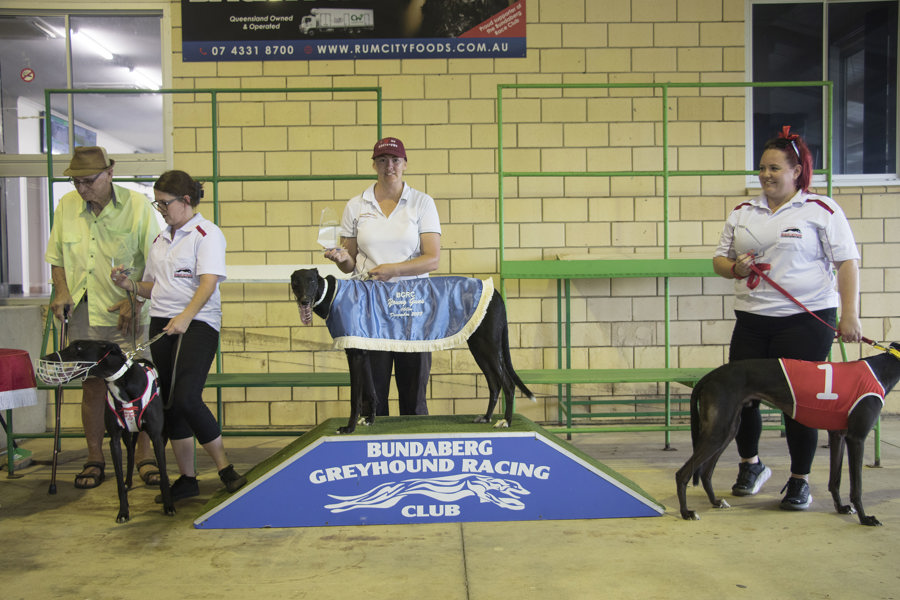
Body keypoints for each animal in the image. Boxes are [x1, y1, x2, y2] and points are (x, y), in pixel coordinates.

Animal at [38, 340, 174, 522]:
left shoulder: (156, 437)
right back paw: (128, 481)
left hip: (159, 434)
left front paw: (168, 505)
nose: (46, 357)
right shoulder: (115, 440)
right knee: (130, 453)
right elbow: (118, 480)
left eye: (79, 347)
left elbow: (164, 472)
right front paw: (123, 511)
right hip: (127, 435)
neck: (120, 382)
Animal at [290, 268, 535, 434]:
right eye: (295, 282)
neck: (332, 293)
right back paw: (486, 417)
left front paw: (349, 428)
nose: (304, 301)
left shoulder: (355, 355)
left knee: (508, 384)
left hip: (488, 347)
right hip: (479, 348)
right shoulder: (364, 353)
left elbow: (355, 397)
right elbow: (372, 392)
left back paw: (506, 421)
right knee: (494, 384)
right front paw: (369, 420)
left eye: (311, 280)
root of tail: (494, 293)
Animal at [676, 343, 900, 526]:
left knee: (705, 472)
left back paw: (715, 501)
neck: (882, 369)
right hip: (718, 431)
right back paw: (686, 512)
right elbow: (857, 486)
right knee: (683, 473)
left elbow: (835, 480)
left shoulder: (838, 436)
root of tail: (710, 375)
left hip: (728, 429)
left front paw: (842, 508)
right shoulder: (857, 438)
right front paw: (865, 518)